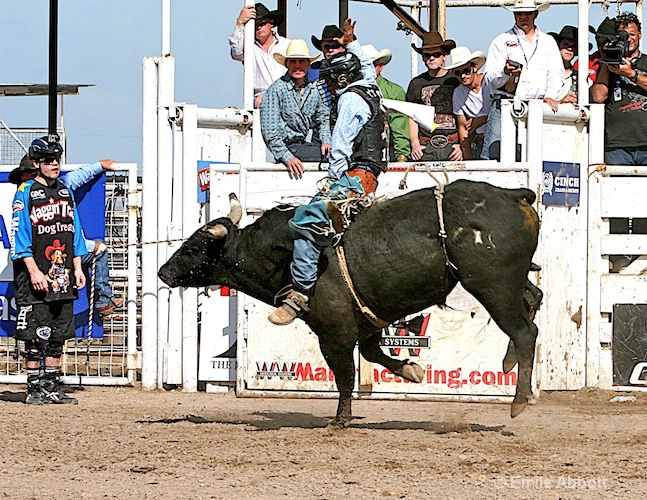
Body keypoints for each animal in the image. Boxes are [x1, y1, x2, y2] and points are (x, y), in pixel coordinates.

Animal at [159, 180, 544, 426]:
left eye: (193, 247)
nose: (163, 272)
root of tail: (513, 195)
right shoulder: (369, 321)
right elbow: (373, 353)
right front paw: (412, 369)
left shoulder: (334, 332)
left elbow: (345, 375)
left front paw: (339, 420)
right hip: (509, 281)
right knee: (534, 299)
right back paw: (509, 362)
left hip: (492, 285)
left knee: (524, 330)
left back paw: (519, 400)